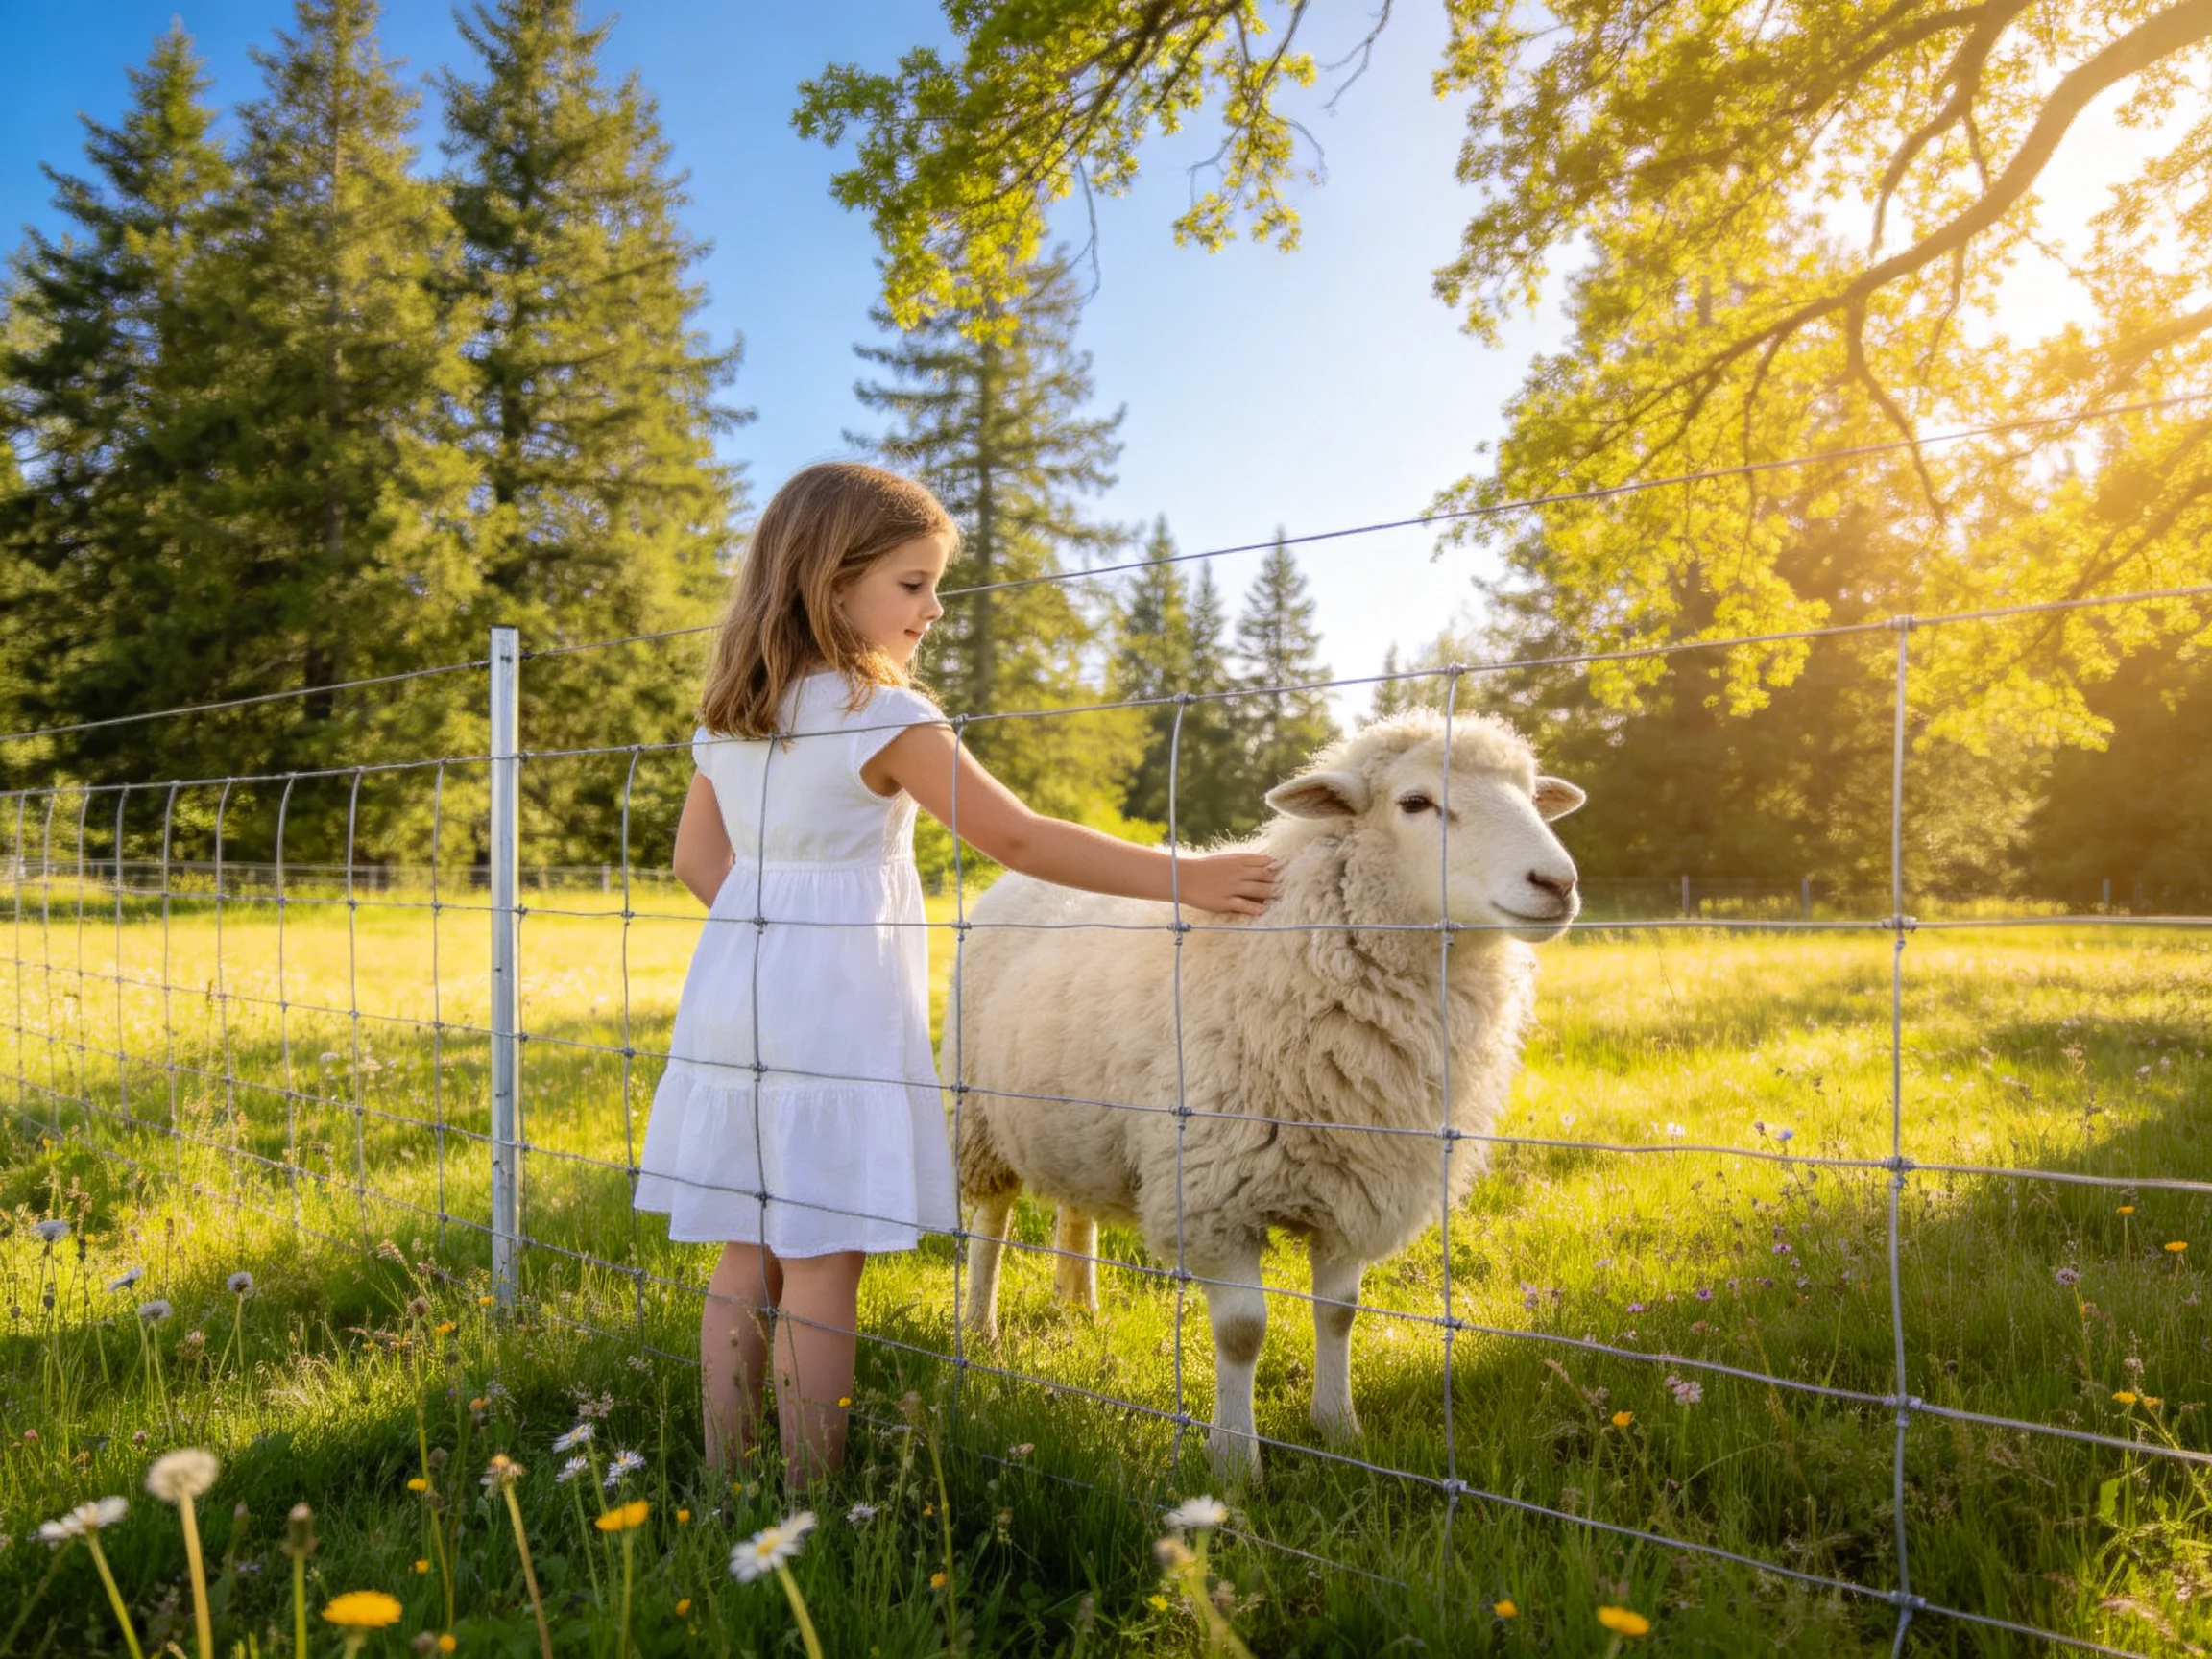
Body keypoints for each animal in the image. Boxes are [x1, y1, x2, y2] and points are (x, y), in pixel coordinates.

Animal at [947, 709, 1584, 1477]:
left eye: (1532, 794)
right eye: (1414, 802)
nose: (1557, 883)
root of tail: (1010, 880)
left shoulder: (1356, 1182)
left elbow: (1339, 1313)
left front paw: (1339, 1429)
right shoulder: (1213, 1197)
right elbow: (1244, 1332)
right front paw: (1234, 1459)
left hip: (1083, 1124)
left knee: (1077, 1211)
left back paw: (1079, 1309)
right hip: (981, 1117)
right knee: (991, 1224)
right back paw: (981, 1327)